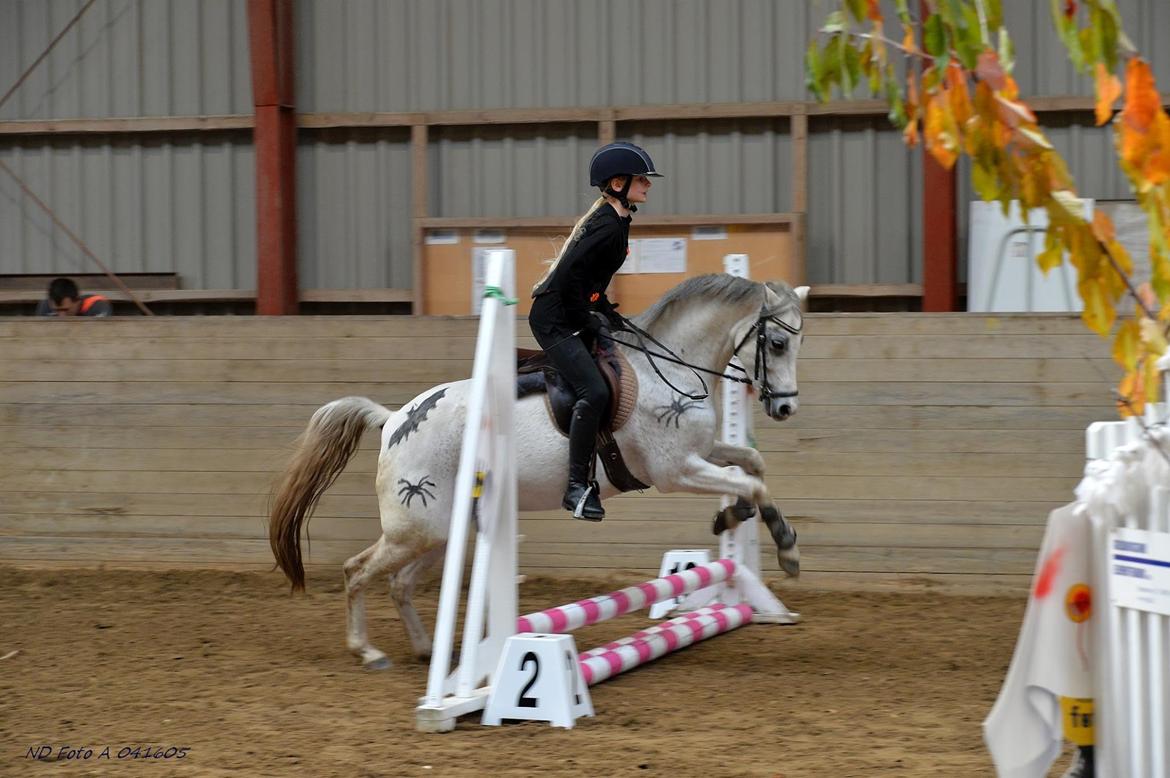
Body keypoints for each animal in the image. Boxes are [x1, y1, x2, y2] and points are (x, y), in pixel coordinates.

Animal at [269, 273, 808, 669]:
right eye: (778, 343)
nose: (785, 408)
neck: (671, 368)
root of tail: (395, 420)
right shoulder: (675, 471)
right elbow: (750, 480)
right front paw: (785, 548)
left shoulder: (702, 453)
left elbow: (751, 465)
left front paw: (731, 518)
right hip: (414, 527)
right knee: (356, 571)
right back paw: (368, 651)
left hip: (441, 531)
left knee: (399, 583)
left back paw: (427, 651)